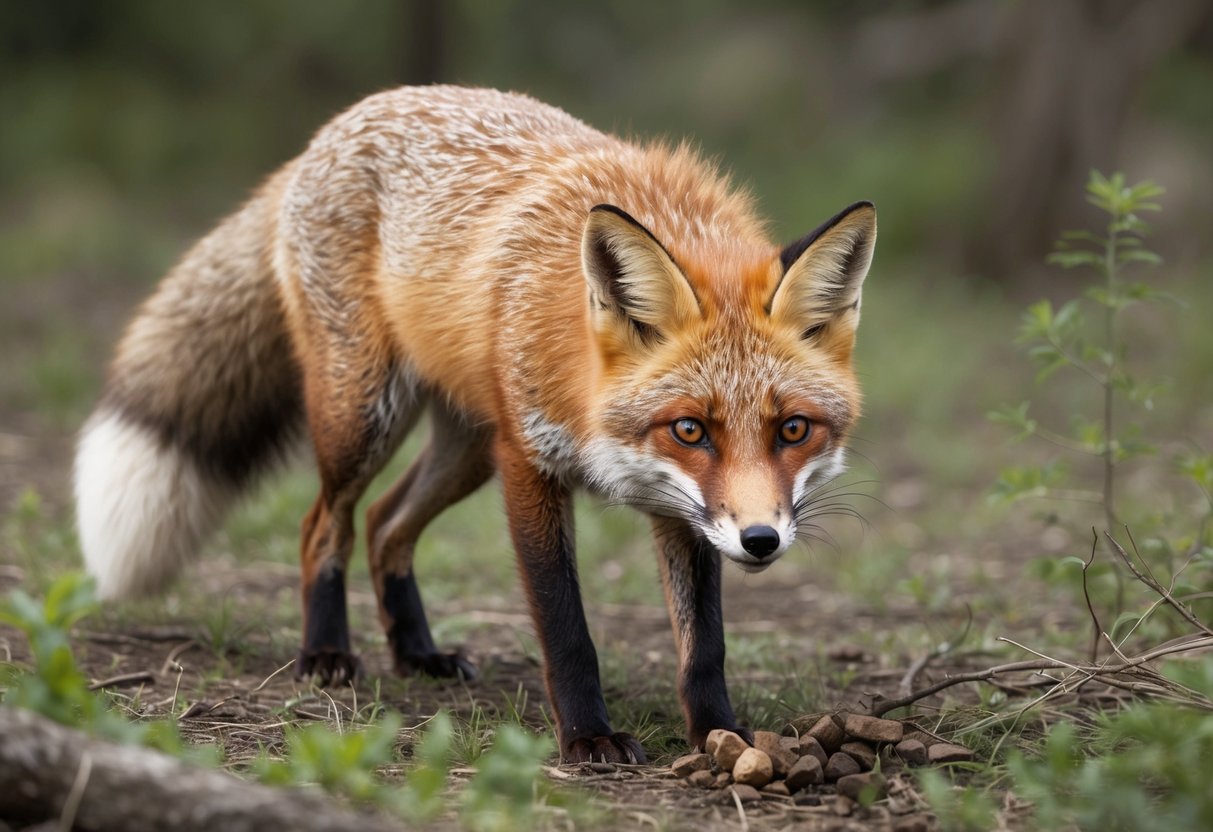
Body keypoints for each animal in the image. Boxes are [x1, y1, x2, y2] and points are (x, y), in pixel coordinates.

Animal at [73, 84, 873, 761]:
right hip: (365, 414)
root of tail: (338, 124)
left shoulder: (679, 510)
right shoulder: (529, 462)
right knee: (323, 524)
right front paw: (588, 739)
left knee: (385, 524)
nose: (761, 540)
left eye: (793, 429)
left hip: (466, 446)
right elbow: (566, 627)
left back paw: (416, 653)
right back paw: (326, 654)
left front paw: (717, 734)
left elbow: (703, 642)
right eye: (690, 429)